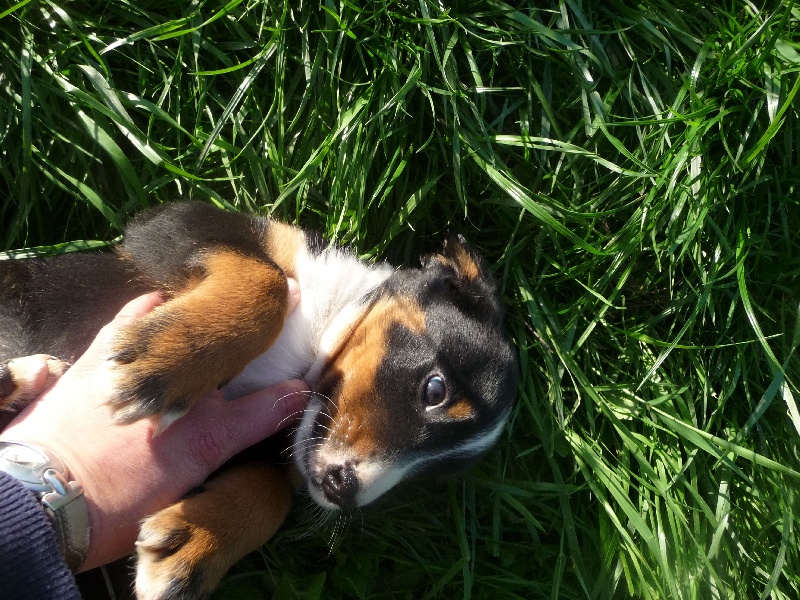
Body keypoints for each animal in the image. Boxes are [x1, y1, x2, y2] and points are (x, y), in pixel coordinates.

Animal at [0, 200, 518, 600]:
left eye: (430, 477)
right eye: (435, 390)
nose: (342, 493)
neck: (314, 345)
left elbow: (271, 489)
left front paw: (192, 548)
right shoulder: (173, 224)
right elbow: (265, 279)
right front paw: (164, 357)